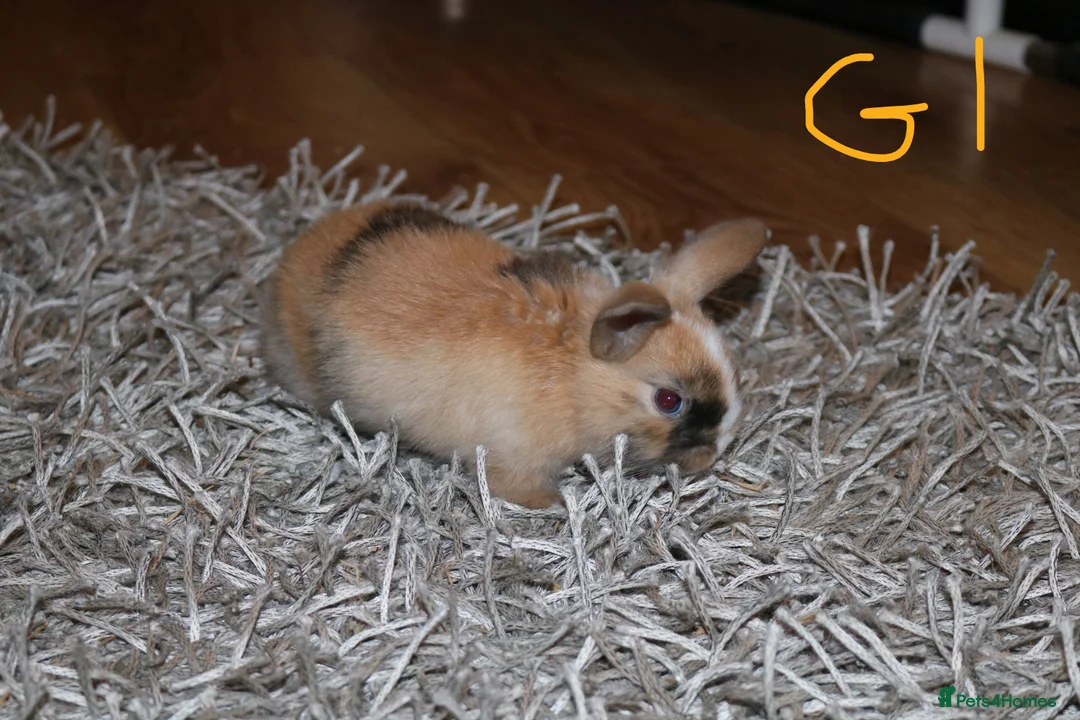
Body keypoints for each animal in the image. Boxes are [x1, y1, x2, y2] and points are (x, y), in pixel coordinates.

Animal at [259, 199, 768, 509]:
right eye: (669, 401)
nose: (712, 455)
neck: (572, 372)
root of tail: (292, 258)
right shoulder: (513, 458)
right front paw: (555, 504)